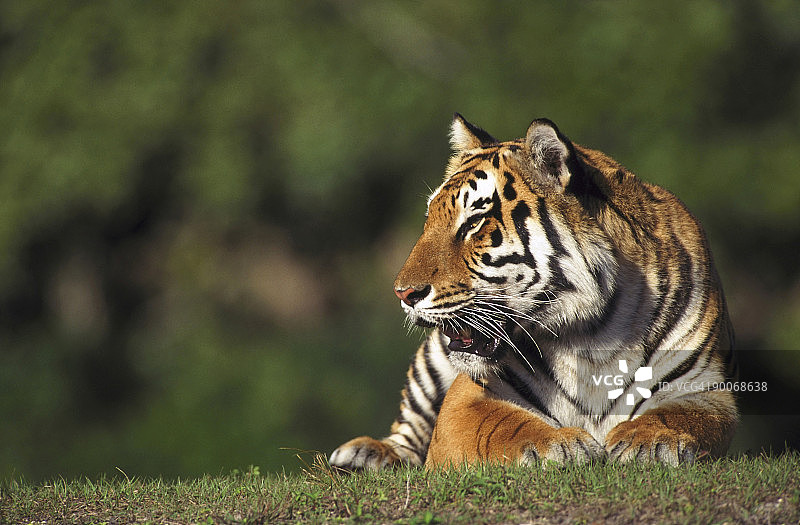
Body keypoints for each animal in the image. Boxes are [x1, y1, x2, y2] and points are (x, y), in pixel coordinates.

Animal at [329, 114, 737, 469]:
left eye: (474, 223)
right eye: (430, 220)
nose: (403, 293)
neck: (593, 337)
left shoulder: (705, 390)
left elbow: (679, 415)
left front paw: (650, 441)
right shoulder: (467, 398)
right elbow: (503, 425)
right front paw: (560, 445)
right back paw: (365, 455)